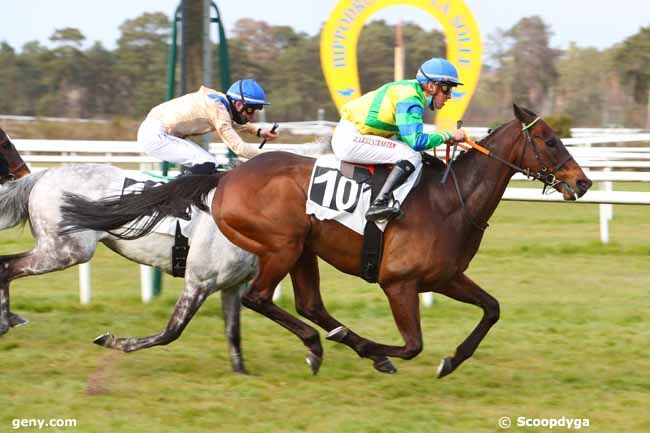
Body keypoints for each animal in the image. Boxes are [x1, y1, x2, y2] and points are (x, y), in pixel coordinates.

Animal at [60, 105, 592, 378]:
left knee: (308, 304)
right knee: (259, 299)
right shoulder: (399, 284)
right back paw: (325, 344)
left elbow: (492, 310)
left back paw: (332, 340)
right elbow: (412, 344)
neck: (449, 202)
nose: (583, 183)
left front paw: (450, 360)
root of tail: (224, 178)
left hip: (304, 250)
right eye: (549, 141)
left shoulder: (445, 278)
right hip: (282, 245)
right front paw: (379, 350)